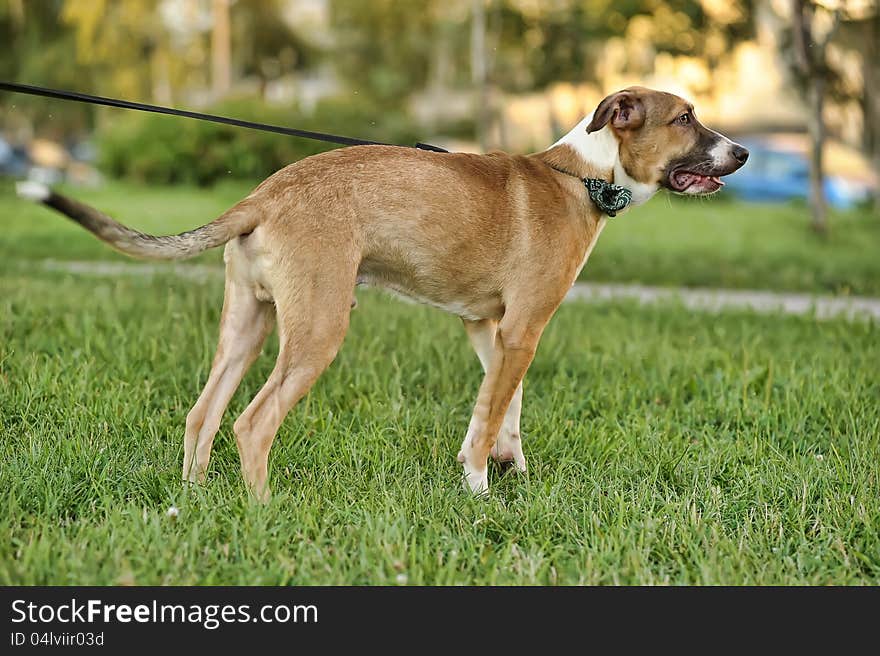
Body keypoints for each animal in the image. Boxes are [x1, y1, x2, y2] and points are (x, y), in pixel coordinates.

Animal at [17, 87, 744, 498]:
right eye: (686, 118)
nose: (741, 154)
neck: (583, 176)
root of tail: (264, 194)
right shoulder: (522, 328)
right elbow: (490, 415)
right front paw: (480, 495)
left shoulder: (492, 330)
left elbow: (499, 408)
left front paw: (507, 469)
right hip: (318, 329)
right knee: (253, 423)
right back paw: (263, 515)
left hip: (248, 323)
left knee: (204, 414)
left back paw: (194, 506)